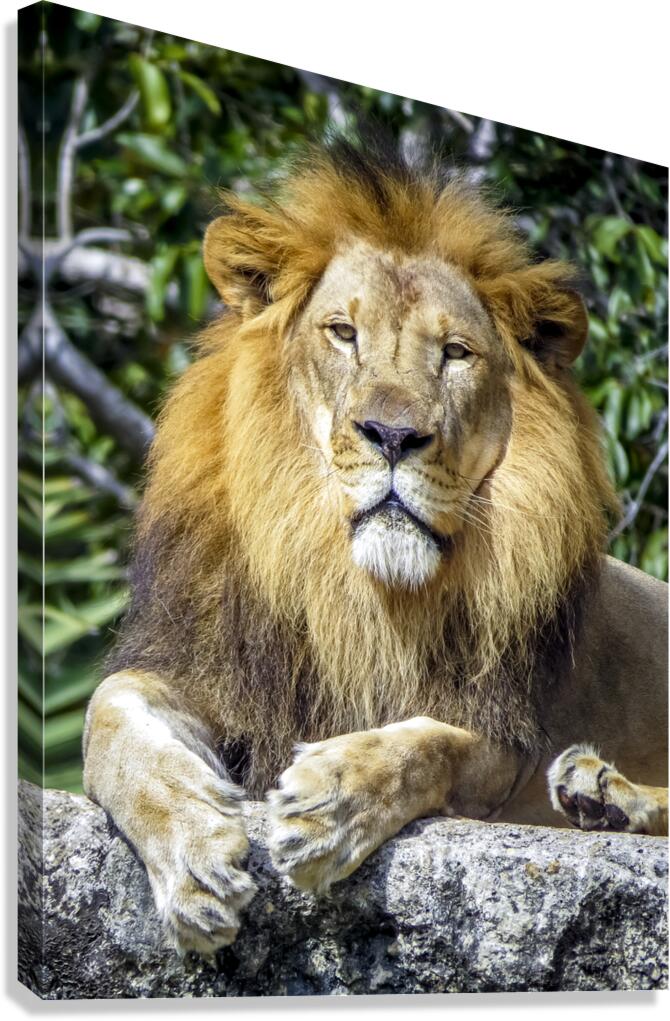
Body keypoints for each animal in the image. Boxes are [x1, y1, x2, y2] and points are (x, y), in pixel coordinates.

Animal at [83, 134, 668, 955]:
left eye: (455, 353)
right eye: (342, 332)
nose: (393, 435)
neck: (350, 587)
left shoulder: (506, 738)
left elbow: (433, 741)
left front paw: (333, 795)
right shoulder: (217, 673)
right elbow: (109, 717)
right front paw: (194, 850)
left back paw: (607, 791)